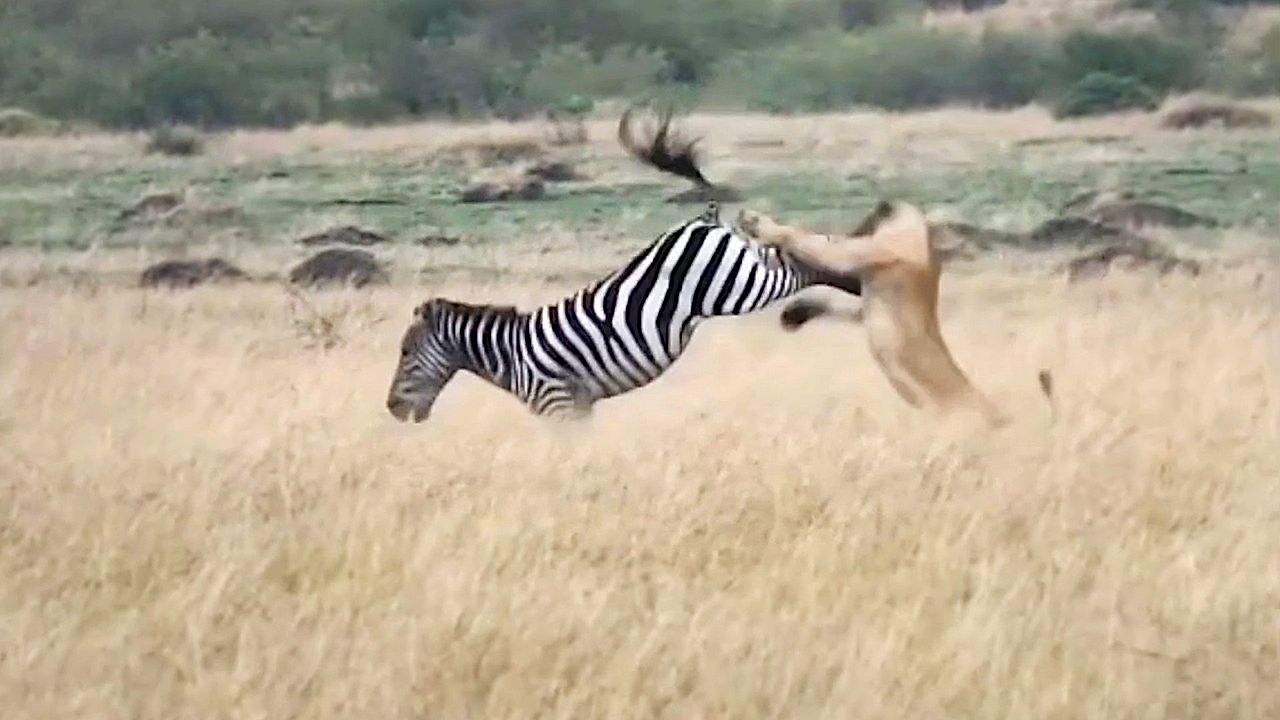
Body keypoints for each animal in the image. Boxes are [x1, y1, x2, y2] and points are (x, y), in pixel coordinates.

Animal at [385, 107, 862, 422]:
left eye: (406, 352)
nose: (392, 408)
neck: (509, 353)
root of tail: (704, 217)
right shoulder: (579, 406)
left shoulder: (556, 403)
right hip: (745, 266)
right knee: (802, 254)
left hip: (740, 283)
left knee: (807, 259)